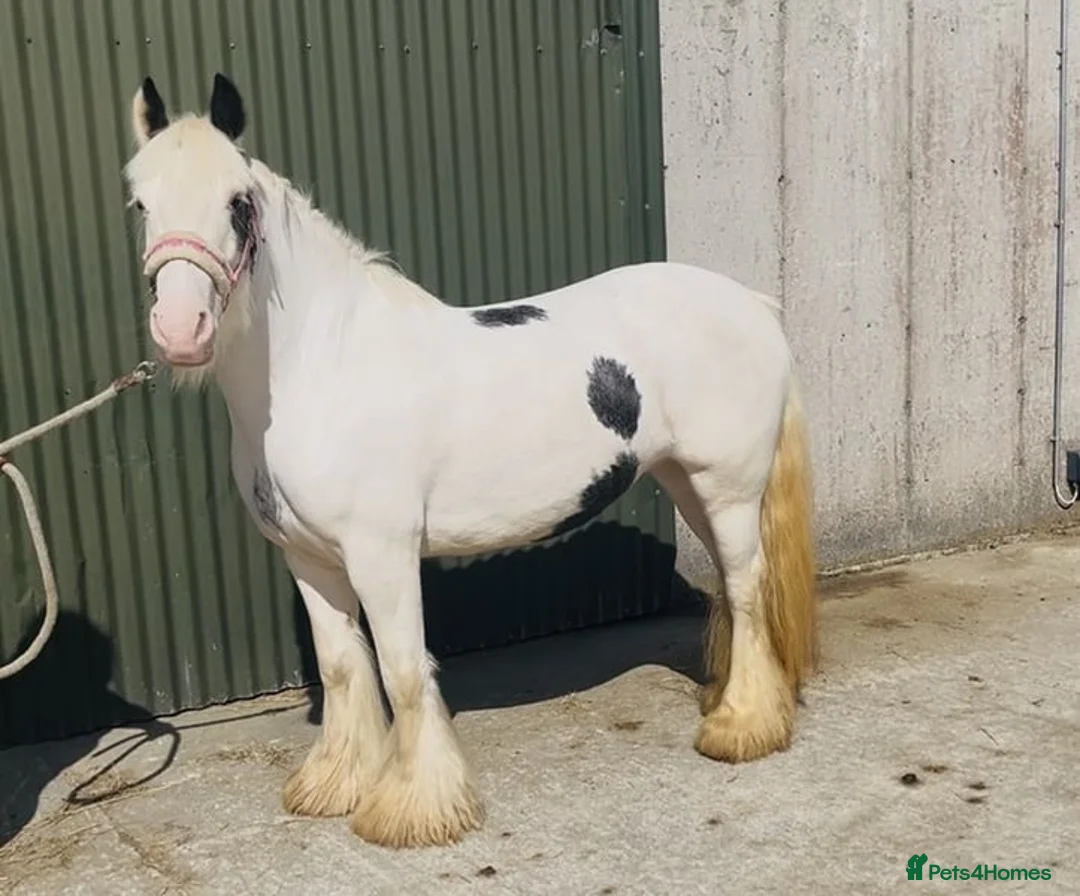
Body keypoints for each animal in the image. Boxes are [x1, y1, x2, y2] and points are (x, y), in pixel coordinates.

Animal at [122, 73, 818, 849]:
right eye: (140, 201)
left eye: (238, 203)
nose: (181, 330)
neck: (322, 367)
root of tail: (752, 303)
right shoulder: (307, 558)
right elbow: (341, 668)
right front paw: (334, 785)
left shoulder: (382, 553)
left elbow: (401, 672)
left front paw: (413, 809)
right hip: (688, 484)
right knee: (733, 589)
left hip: (727, 489)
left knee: (749, 591)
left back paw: (741, 728)